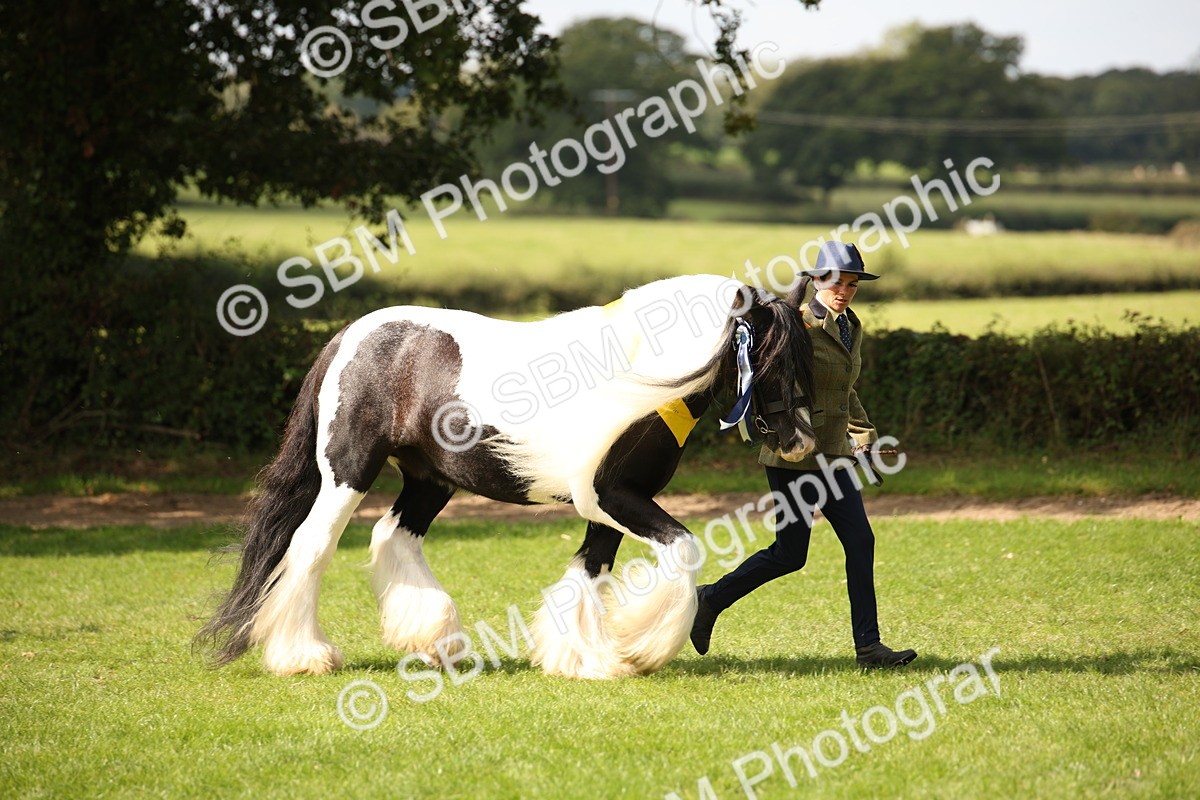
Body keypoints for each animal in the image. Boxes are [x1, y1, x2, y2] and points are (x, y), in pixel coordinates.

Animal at [195, 273, 817, 679]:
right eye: (771, 360)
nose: (800, 443)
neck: (641, 379)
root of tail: (349, 336)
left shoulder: (611, 504)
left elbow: (589, 572)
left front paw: (585, 660)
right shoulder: (614, 496)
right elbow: (684, 548)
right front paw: (642, 649)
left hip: (430, 480)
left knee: (392, 536)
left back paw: (438, 643)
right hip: (349, 473)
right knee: (311, 547)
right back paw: (304, 656)